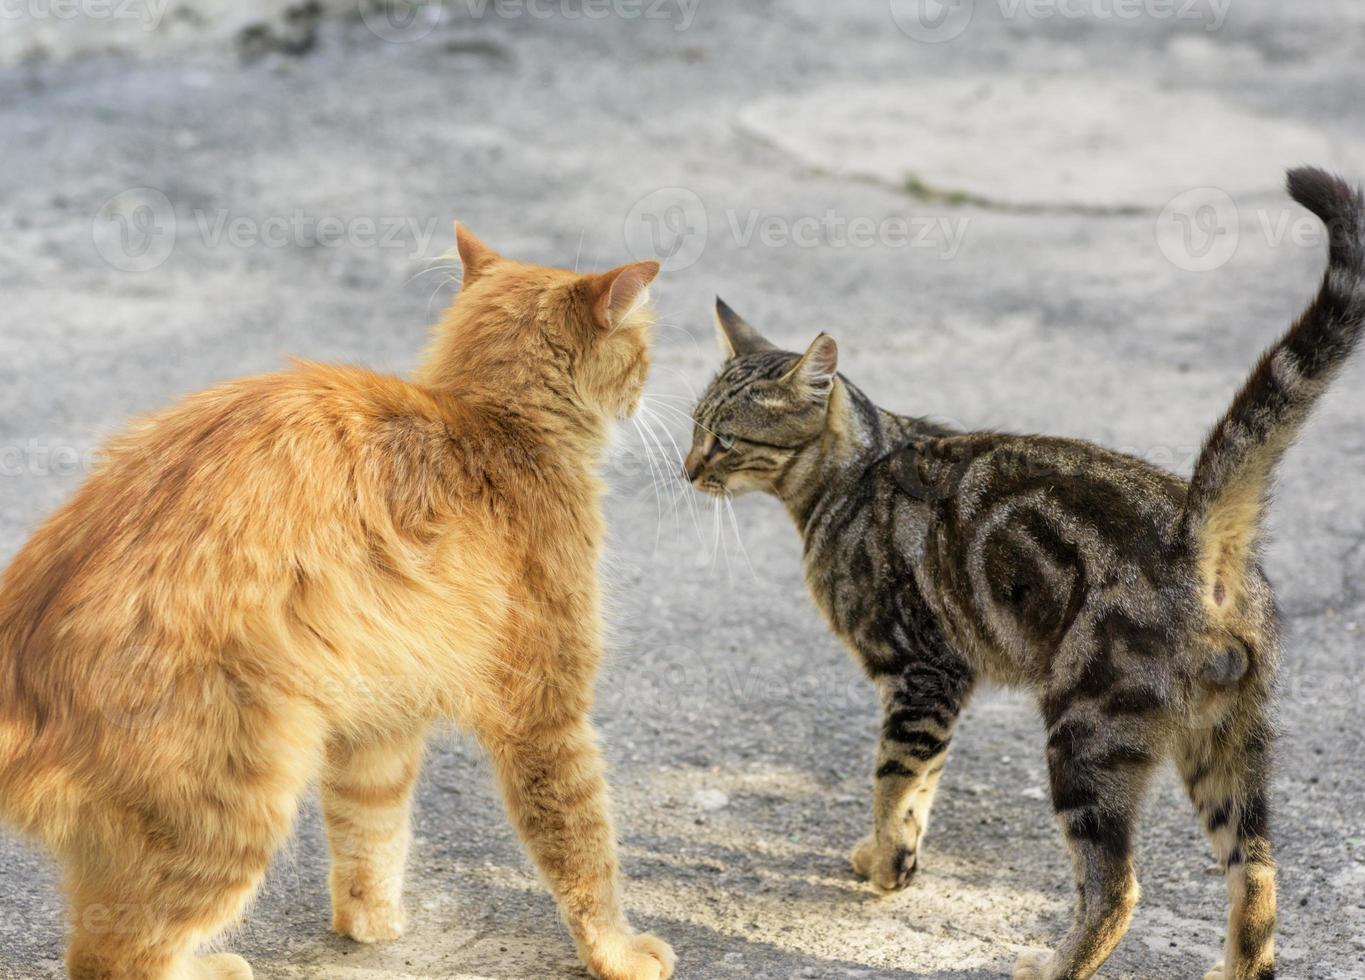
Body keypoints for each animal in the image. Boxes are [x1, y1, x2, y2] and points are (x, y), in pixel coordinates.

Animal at [0, 230, 674, 980]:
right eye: (642, 349)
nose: (650, 390)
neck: (494, 428)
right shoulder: (547, 717)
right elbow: (585, 852)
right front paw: (619, 952)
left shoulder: (381, 720)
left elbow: (370, 834)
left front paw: (369, 925)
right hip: (236, 809)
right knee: (112, 956)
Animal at [682, 170, 1365, 980]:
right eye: (693, 425)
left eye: (725, 438)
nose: (685, 468)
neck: (855, 474)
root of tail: (1200, 533)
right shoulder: (942, 688)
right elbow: (921, 788)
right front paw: (894, 862)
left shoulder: (919, 673)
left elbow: (891, 782)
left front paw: (884, 867)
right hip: (1229, 745)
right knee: (1256, 871)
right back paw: (1234, 966)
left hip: (1084, 735)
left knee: (1115, 887)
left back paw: (1053, 965)